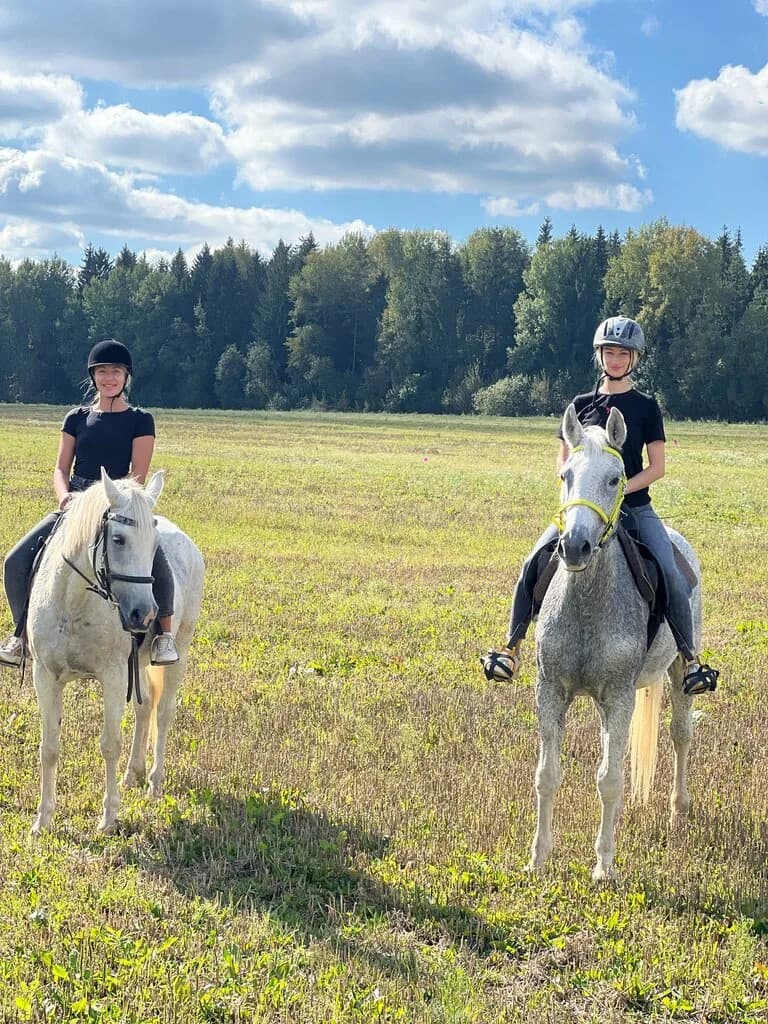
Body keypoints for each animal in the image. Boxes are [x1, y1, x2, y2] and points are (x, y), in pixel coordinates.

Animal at [26, 468, 204, 833]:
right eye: (119, 539)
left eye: (154, 546)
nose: (144, 614)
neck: (74, 604)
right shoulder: (45, 675)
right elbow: (49, 747)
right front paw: (43, 820)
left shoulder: (113, 676)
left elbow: (109, 745)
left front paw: (108, 817)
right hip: (139, 662)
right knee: (145, 707)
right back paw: (133, 774)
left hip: (179, 648)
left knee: (164, 713)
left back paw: (153, 783)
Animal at [528, 404, 699, 881]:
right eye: (565, 475)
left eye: (614, 478)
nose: (574, 547)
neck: (588, 604)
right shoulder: (551, 691)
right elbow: (547, 775)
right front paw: (538, 858)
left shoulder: (620, 696)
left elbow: (609, 780)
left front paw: (604, 864)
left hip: (679, 671)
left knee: (681, 735)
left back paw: (678, 813)